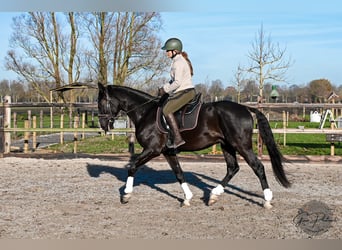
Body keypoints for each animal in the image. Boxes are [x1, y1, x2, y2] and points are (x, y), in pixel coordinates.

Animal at [97, 83, 292, 208]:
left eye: (101, 102)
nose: (103, 125)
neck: (146, 112)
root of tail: (245, 108)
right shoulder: (168, 152)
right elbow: (179, 173)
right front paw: (187, 198)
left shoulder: (152, 150)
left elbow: (133, 166)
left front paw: (126, 194)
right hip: (227, 145)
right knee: (233, 168)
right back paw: (213, 195)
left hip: (241, 145)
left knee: (257, 166)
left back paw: (267, 200)